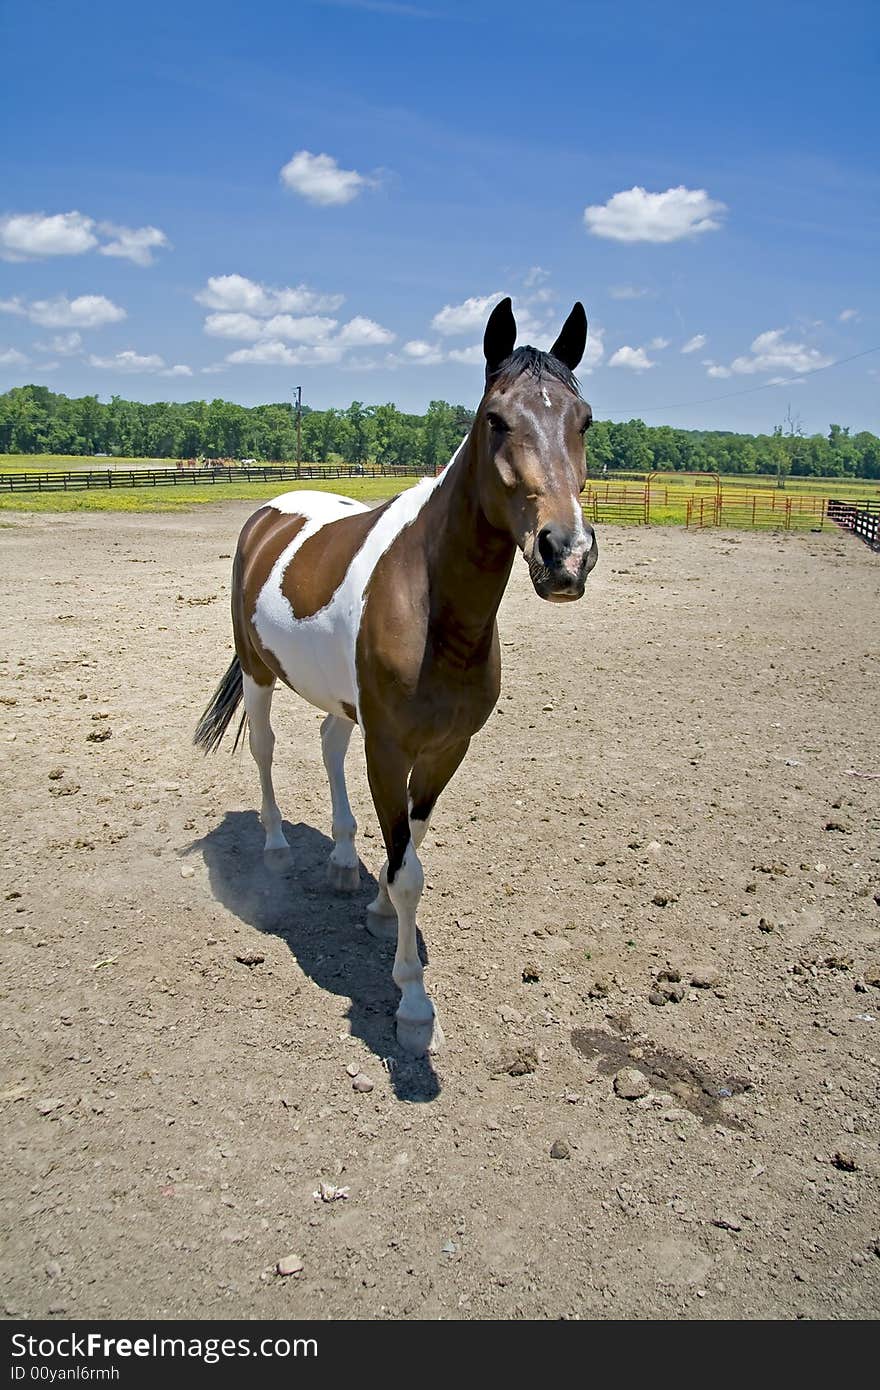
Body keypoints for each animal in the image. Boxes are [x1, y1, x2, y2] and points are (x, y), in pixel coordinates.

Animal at [196, 296, 597, 1050]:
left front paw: (380, 906)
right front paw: (412, 999)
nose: (565, 553)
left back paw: (342, 861)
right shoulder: (389, 746)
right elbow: (409, 870)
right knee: (265, 750)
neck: (432, 604)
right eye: (495, 418)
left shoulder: (445, 749)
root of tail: (268, 514)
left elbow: (412, 841)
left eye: (583, 419)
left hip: (340, 700)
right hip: (261, 674)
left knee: (328, 745)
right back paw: (276, 846)